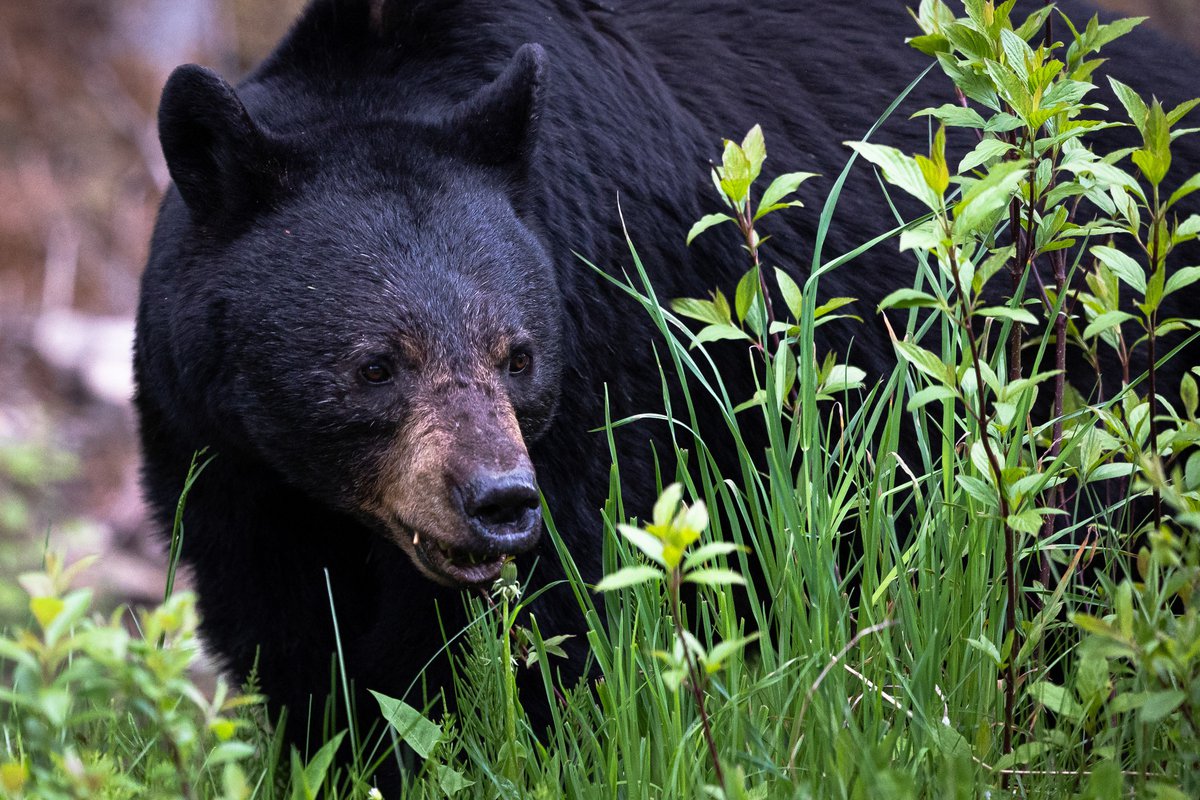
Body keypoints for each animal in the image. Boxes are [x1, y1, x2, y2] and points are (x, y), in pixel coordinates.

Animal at [133, 0, 1200, 767]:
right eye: (375, 364)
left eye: (518, 354)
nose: (496, 502)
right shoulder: (224, 456)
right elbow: (297, 648)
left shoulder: (608, 378)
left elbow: (568, 625)